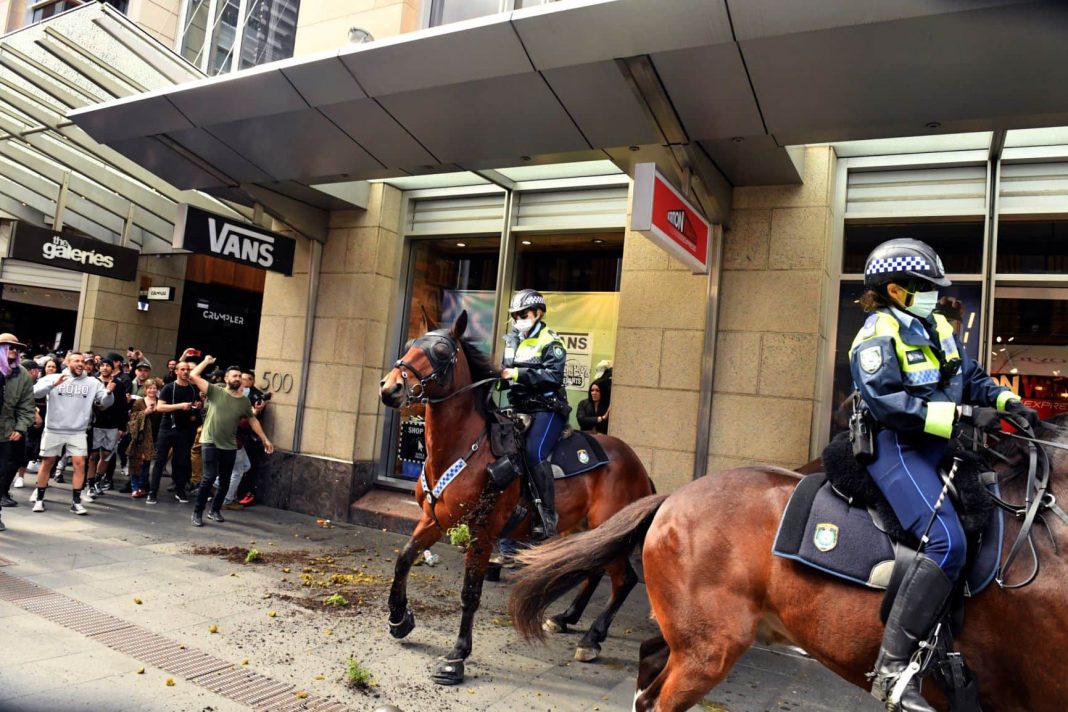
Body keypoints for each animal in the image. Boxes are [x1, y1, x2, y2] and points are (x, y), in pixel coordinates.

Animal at [380, 309, 653, 683]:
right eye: (409, 344)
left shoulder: (483, 531)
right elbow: (405, 558)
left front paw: (456, 657)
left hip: (608, 526)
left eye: (440, 350)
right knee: (595, 569)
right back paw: (566, 618)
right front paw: (399, 618)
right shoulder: (435, 519)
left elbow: (470, 592)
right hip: (587, 530)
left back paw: (592, 639)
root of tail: (638, 464)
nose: (390, 388)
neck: (465, 446)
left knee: (624, 579)